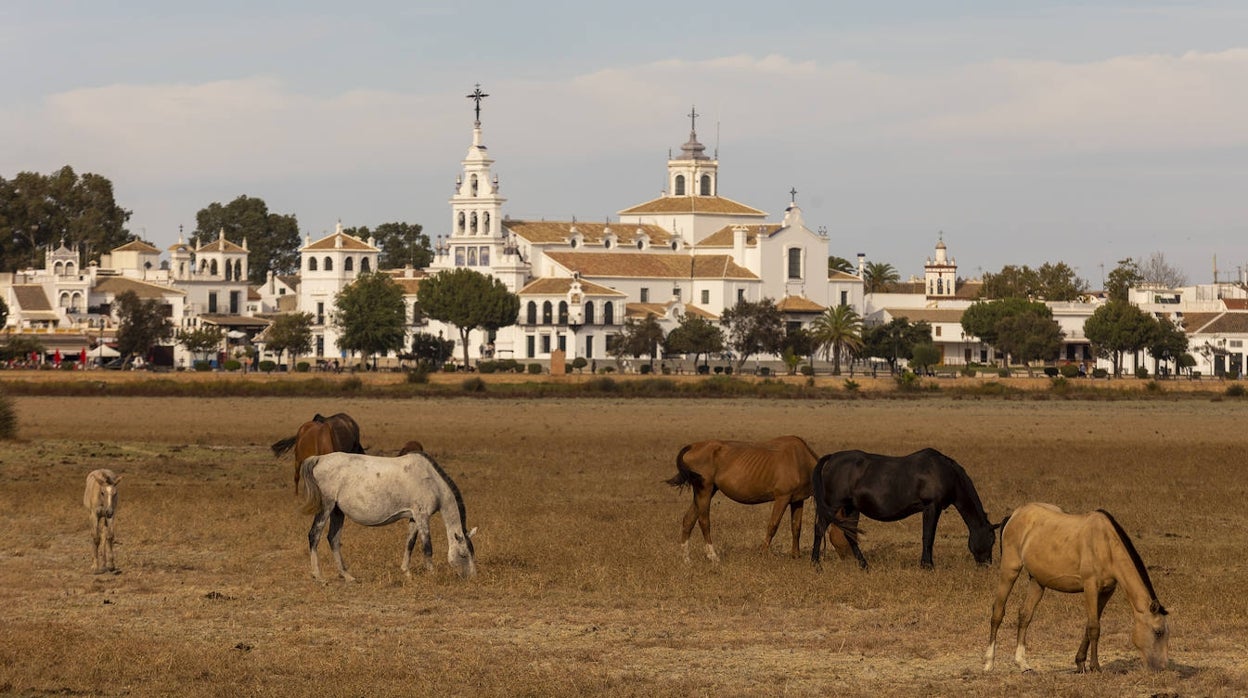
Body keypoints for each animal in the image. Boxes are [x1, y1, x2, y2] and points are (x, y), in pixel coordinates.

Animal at [297, 449, 476, 581]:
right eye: (463, 554)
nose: (471, 577)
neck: (431, 480)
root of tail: (319, 459)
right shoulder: (422, 516)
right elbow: (427, 547)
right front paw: (431, 574)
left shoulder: (413, 517)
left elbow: (410, 543)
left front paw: (406, 572)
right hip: (326, 507)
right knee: (314, 535)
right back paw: (319, 576)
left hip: (337, 511)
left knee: (333, 539)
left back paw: (347, 576)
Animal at [668, 437, 853, 561]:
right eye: (848, 532)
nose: (850, 557)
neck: (800, 460)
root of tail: (693, 446)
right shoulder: (782, 498)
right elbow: (773, 525)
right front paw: (763, 553)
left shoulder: (797, 500)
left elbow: (796, 527)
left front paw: (796, 555)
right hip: (705, 490)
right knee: (704, 521)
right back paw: (713, 556)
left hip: (704, 492)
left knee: (688, 520)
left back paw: (686, 559)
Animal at [808, 449, 993, 571]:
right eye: (992, 540)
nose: (987, 565)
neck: (944, 472)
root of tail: (832, 458)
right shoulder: (932, 507)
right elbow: (928, 537)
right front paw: (927, 566)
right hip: (833, 506)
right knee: (819, 529)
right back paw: (816, 564)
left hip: (851, 508)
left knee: (850, 534)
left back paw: (864, 565)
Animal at [983, 504, 1168, 674]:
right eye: (1158, 632)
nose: (1162, 668)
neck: (1106, 544)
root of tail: (1015, 514)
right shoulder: (1090, 587)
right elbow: (1094, 627)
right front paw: (1095, 667)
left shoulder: (1106, 591)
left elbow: (1090, 625)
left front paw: (1080, 663)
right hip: (1009, 570)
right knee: (998, 612)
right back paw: (989, 663)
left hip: (1037, 581)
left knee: (1025, 615)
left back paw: (1023, 664)